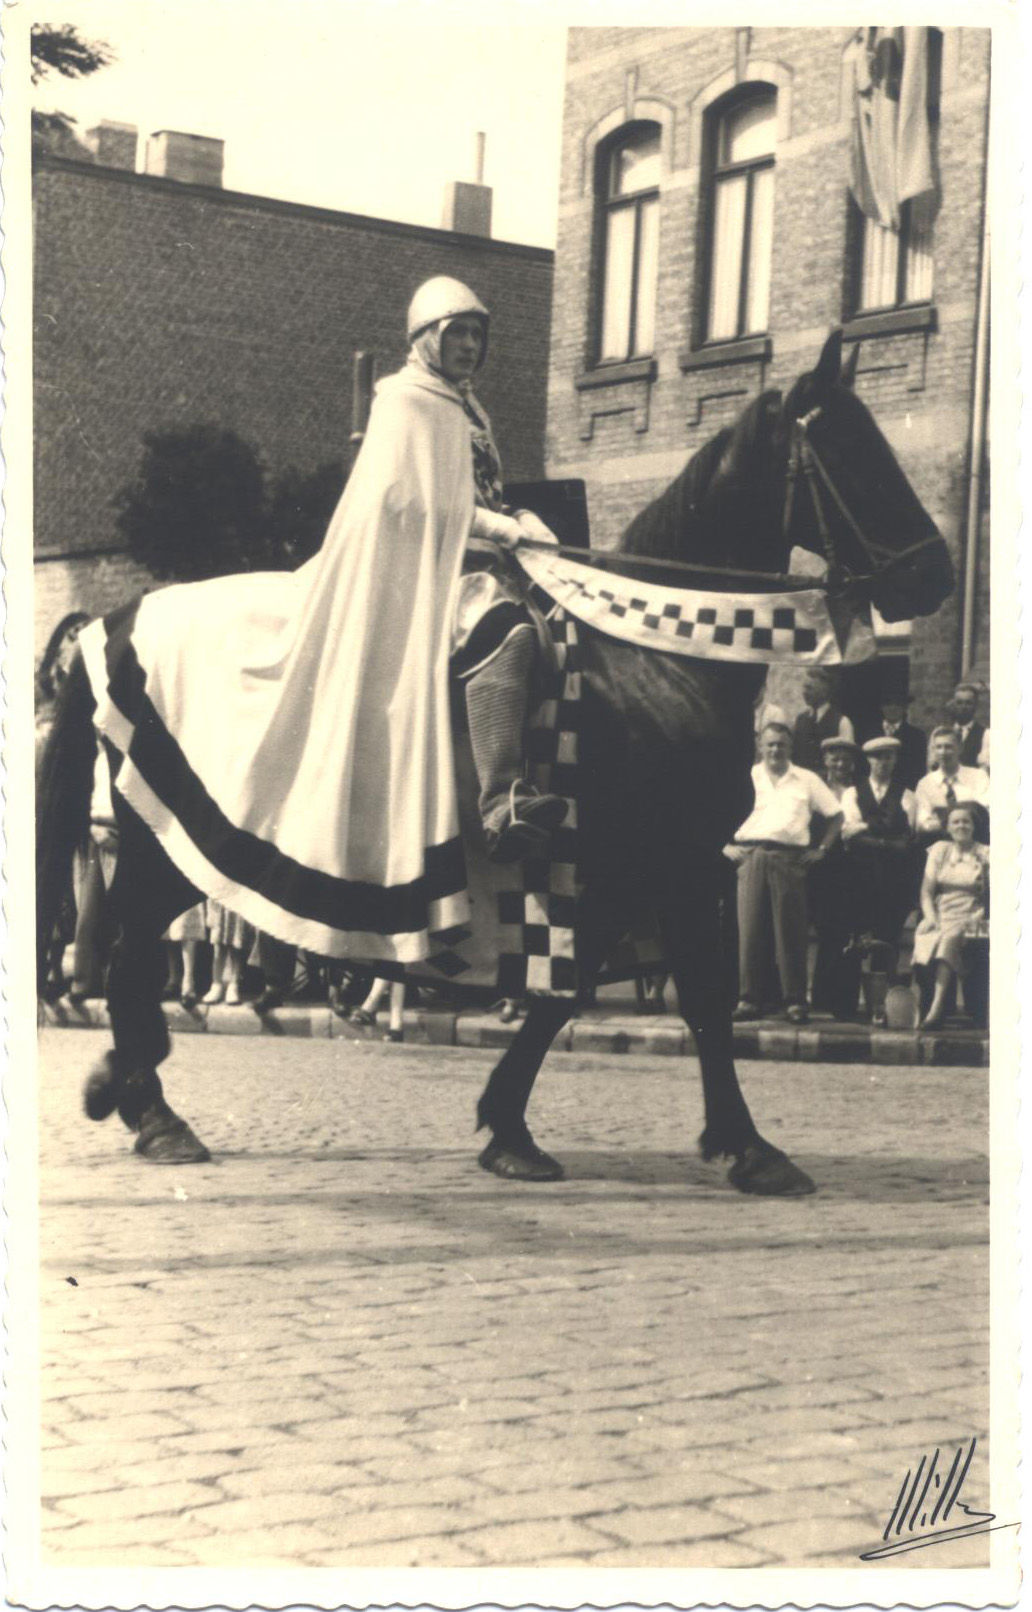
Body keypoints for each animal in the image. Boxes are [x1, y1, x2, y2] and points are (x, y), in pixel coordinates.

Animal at [36, 330, 954, 1186]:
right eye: (849, 451)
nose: (935, 576)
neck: (656, 659)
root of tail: (114, 622)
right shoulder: (667, 866)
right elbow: (692, 995)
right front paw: (749, 1147)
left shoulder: (621, 878)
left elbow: (570, 998)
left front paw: (509, 1127)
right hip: (169, 844)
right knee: (126, 954)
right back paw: (152, 1109)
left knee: (126, 952)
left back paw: (130, 1088)